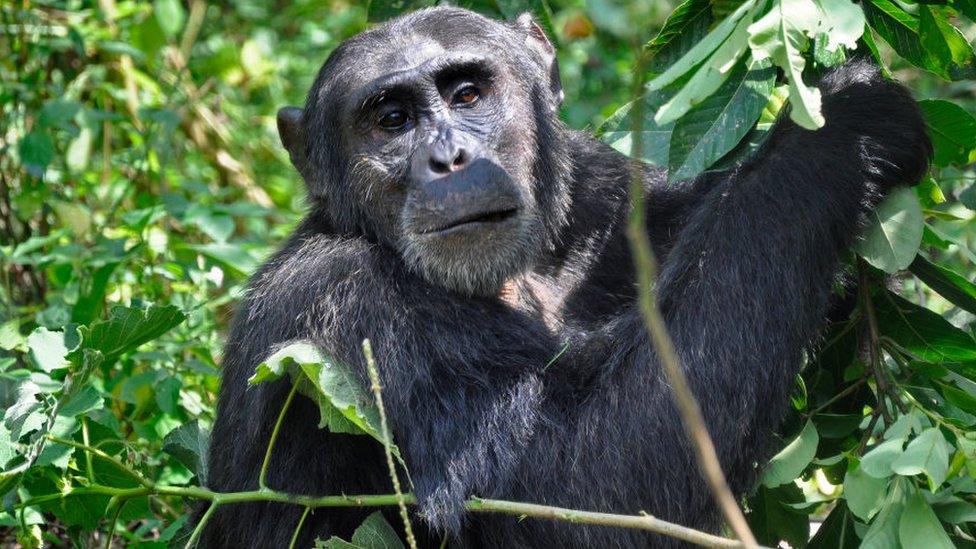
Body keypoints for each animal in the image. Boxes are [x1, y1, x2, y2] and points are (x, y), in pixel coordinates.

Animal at [202, 5, 936, 548]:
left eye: (467, 93)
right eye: (391, 119)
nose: (449, 156)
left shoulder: (609, 192)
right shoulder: (343, 309)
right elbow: (579, 479)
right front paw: (839, 135)